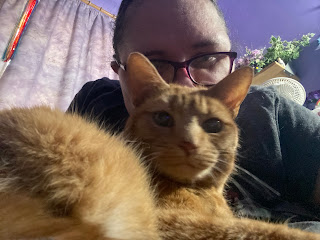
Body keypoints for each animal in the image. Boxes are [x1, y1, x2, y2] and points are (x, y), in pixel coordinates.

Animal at [0, 52, 318, 240]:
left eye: (213, 125)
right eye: (163, 118)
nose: (189, 142)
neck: (198, 191)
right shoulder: (169, 222)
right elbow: (259, 230)